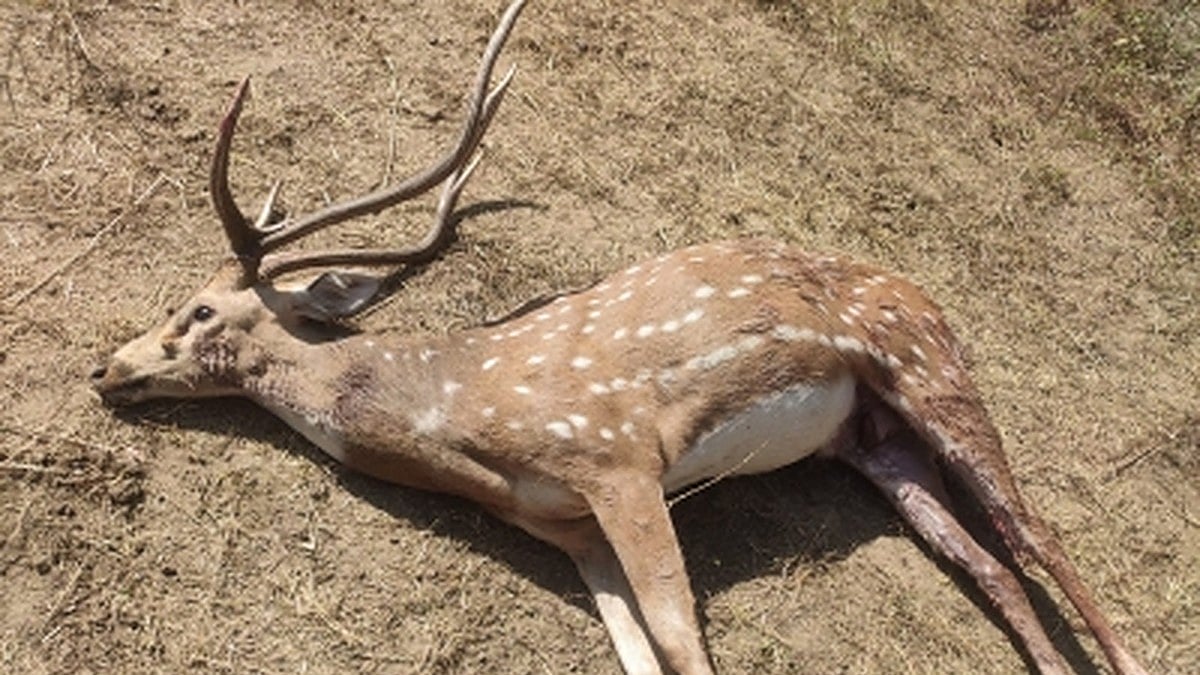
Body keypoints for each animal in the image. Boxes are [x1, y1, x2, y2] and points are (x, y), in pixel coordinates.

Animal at [89, 1, 1148, 673]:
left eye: (198, 309)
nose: (105, 366)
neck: (463, 421)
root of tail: (917, 287)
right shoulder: (564, 527)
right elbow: (639, 653)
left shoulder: (618, 455)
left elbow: (683, 645)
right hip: (875, 444)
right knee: (991, 564)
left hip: (928, 364)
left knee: (1037, 534)